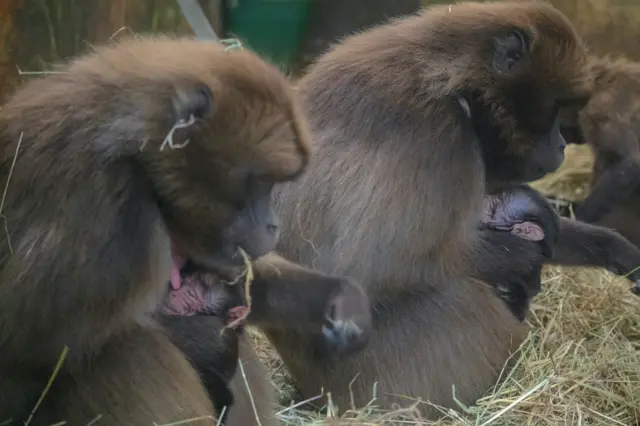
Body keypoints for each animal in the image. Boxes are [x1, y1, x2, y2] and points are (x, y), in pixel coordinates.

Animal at [0, 35, 370, 424]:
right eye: (260, 184)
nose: (273, 225)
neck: (139, 159)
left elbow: (237, 285)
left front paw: (340, 300)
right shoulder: (107, 209)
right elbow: (26, 350)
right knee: (129, 349)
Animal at [264, 1, 592, 418]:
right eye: (556, 110)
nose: (562, 145)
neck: (450, 78)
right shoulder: (440, 134)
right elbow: (366, 270)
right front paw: (526, 259)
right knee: (463, 297)